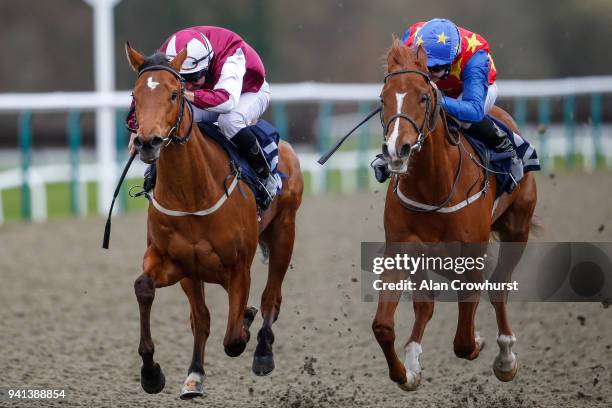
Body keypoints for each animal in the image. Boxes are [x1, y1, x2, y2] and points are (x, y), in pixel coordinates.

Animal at [125, 43, 304, 398]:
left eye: (174, 94)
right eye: (135, 96)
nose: (147, 142)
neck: (192, 195)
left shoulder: (238, 269)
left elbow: (233, 338)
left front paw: (246, 326)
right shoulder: (176, 265)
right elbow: (150, 291)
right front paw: (155, 373)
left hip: (284, 233)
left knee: (271, 298)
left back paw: (263, 351)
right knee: (205, 317)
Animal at [370, 39, 536, 390]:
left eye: (423, 96)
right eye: (383, 98)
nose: (396, 150)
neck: (433, 186)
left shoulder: (472, 255)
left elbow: (463, 341)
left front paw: (482, 342)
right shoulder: (401, 249)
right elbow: (383, 326)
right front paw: (406, 373)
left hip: (518, 229)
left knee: (499, 286)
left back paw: (506, 357)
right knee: (426, 304)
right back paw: (413, 357)